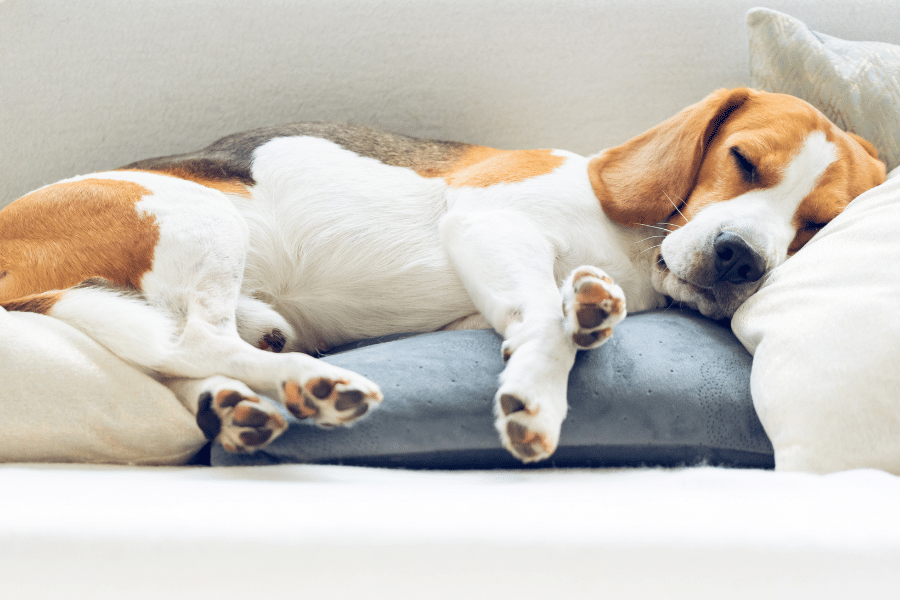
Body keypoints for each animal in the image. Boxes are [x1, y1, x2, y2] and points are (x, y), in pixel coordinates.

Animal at [0, 86, 884, 462]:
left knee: (181, 353)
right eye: (743, 160)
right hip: (195, 216)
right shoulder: (486, 219)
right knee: (192, 339)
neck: (637, 247)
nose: (741, 257)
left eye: (817, 223)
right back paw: (312, 383)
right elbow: (542, 322)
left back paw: (246, 406)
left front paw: (588, 305)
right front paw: (537, 395)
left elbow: (550, 308)